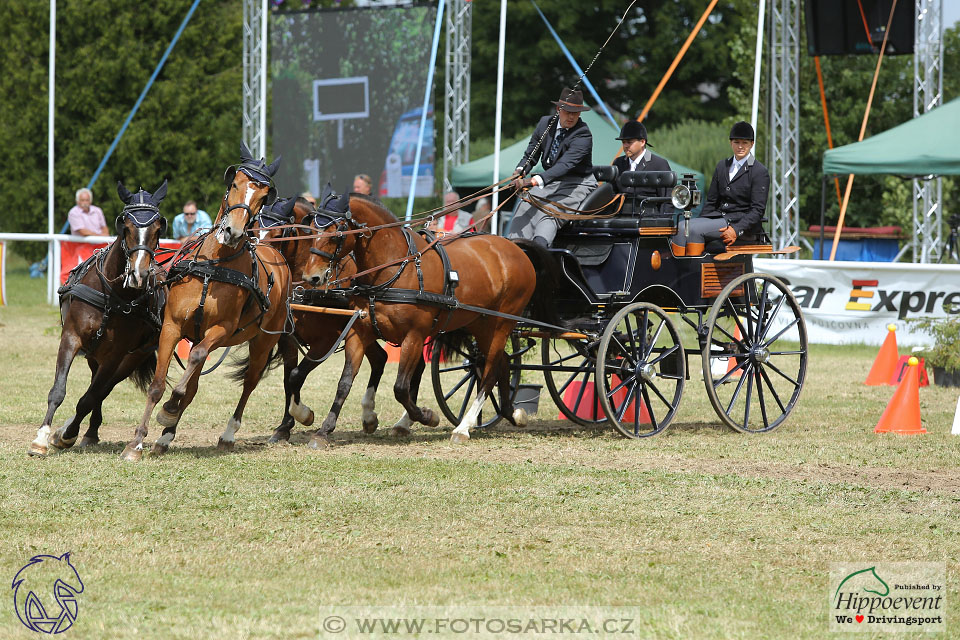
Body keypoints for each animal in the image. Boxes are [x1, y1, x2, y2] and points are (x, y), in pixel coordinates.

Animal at [29, 182, 169, 458]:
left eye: (159, 228)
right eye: (125, 225)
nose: (138, 274)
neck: (112, 295)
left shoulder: (116, 355)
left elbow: (89, 398)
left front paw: (66, 434)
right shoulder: (70, 337)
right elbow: (58, 391)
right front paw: (41, 438)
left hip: (129, 358)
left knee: (101, 390)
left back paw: (83, 431)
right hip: (95, 355)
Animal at [121, 143, 292, 460]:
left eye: (264, 196)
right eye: (234, 184)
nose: (233, 232)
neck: (213, 266)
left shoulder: (221, 330)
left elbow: (194, 364)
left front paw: (169, 408)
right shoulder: (172, 327)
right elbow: (158, 386)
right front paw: (137, 442)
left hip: (262, 341)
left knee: (249, 382)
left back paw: (227, 433)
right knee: (195, 384)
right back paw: (165, 437)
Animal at [255, 192, 390, 442]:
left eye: (279, 234)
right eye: (256, 228)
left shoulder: (326, 341)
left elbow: (296, 375)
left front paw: (303, 414)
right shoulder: (288, 340)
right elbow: (288, 378)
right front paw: (284, 426)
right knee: (380, 358)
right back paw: (369, 417)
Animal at [300, 196, 536, 444]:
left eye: (336, 234)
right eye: (312, 231)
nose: (311, 277)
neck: (395, 267)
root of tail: (516, 250)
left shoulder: (413, 336)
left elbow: (401, 388)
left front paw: (426, 416)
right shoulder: (360, 331)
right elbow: (344, 382)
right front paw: (324, 431)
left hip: (501, 324)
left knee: (489, 372)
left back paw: (464, 427)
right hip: (480, 325)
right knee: (502, 363)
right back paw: (511, 413)